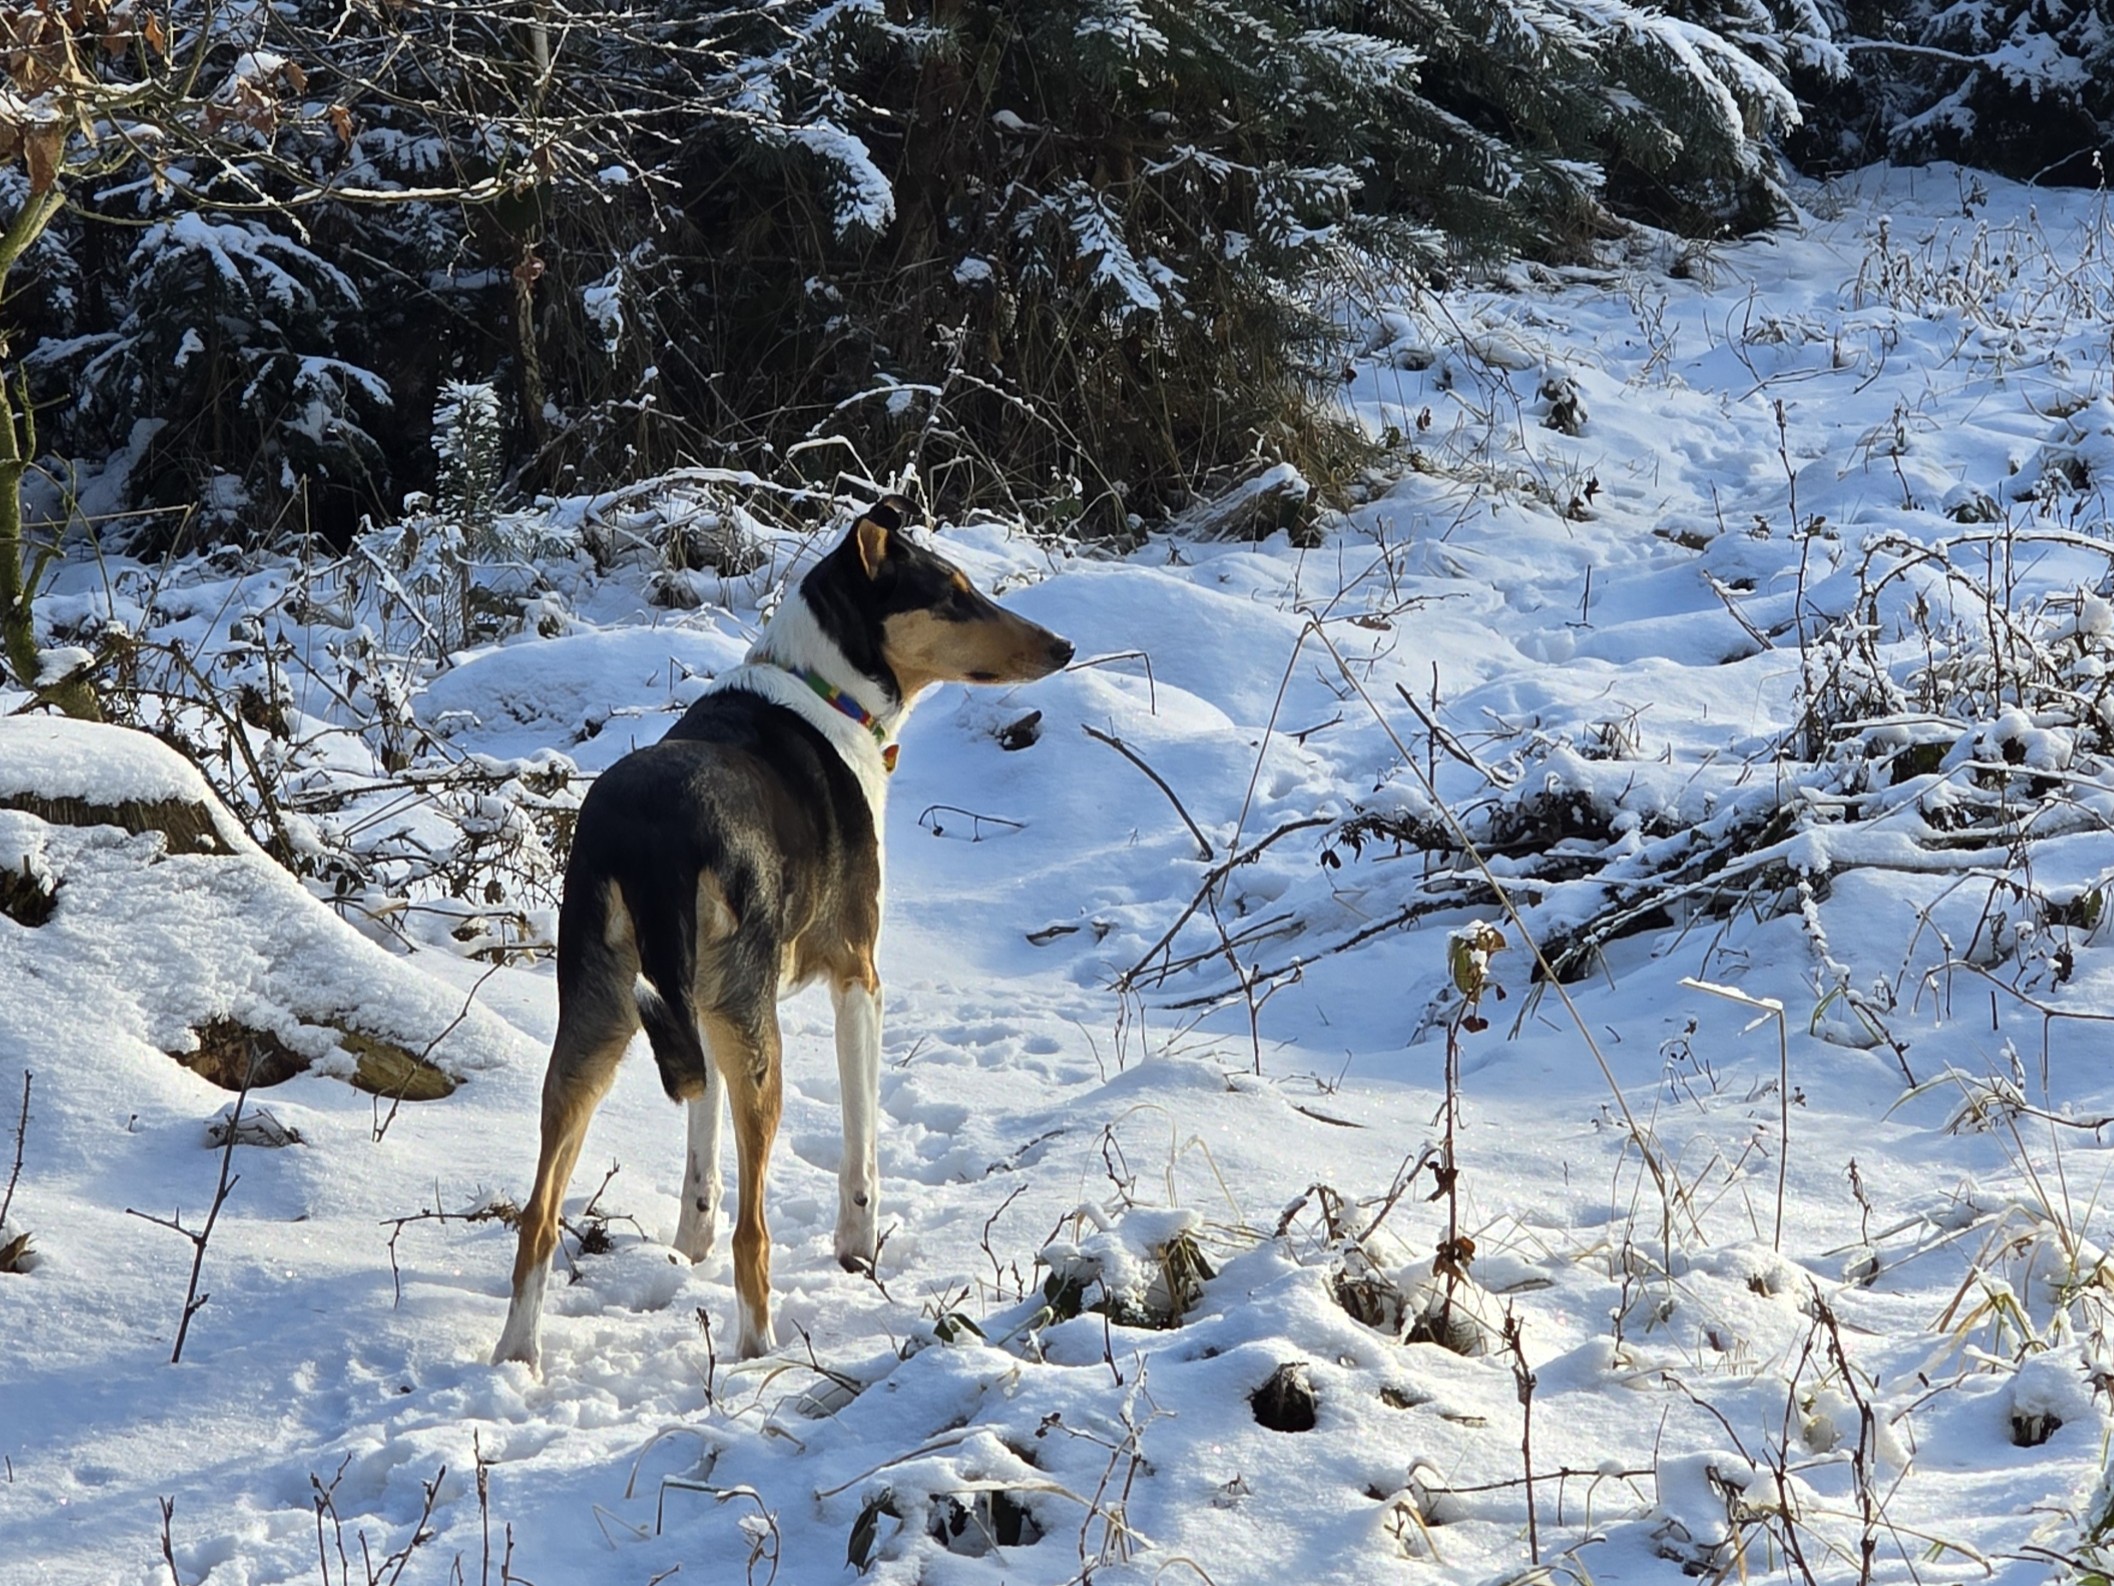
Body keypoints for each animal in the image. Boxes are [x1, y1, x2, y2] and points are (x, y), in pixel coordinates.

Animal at [494, 503, 1073, 1370]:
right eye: (953, 595)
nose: (1063, 646)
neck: (824, 689)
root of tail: (655, 840)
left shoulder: (696, 1007)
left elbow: (699, 1157)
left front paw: (686, 1245)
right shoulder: (858, 975)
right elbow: (860, 1136)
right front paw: (859, 1247)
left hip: (603, 1018)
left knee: (538, 1214)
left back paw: (517, 1356)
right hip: (753, 1034)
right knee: (754, 1229)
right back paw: (760, 1348)